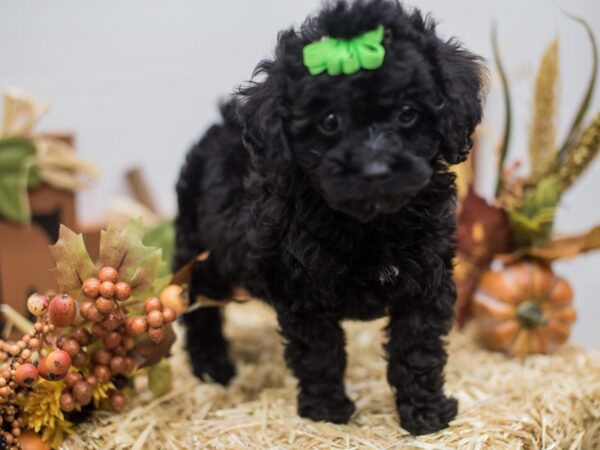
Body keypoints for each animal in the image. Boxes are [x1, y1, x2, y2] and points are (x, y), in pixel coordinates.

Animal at [173, 0, 482, 436]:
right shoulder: (303, 292)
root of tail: (222, 124)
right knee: (200, 307)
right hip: (199, 248)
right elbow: (320, 354)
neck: (371, 224)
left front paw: (427, 413)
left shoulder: (427, 282)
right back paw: (213, 369)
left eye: (407, 113)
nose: (375, 170)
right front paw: (327, 412)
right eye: (330, 121)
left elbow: (417, 350)